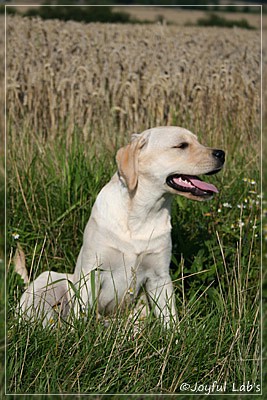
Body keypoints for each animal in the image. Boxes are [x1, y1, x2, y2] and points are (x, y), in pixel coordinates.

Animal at [19, 127, 226, 328]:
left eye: (198, 141)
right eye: (181, 145)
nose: (222, 153)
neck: (141, 214)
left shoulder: (159, 277)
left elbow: (170, 318)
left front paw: (174, 337)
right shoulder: (91, 272)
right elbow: (80, 313)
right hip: (51, 280)